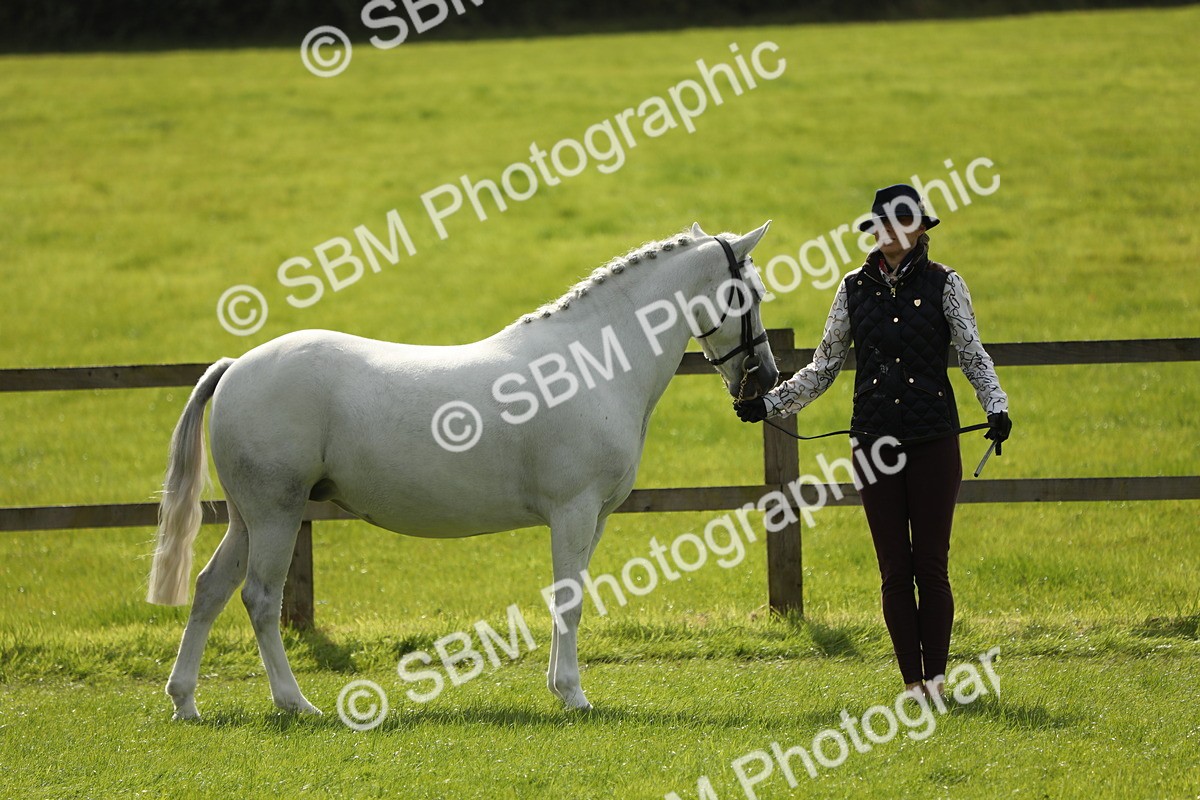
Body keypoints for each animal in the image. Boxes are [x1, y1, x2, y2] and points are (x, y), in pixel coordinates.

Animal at [147, 221, 779, 720]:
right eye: (748, 294)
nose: (765, 380)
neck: (589, 364)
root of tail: (236, 367)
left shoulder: (592, 518)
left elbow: (568, 594)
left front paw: (559, 688)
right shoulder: (573, 511)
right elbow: (570, 598)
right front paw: (573, 694)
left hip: (248, 519)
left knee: (210, 589)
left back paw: (186, 701)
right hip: (277, 514)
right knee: (259, 597)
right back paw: (294, 702)